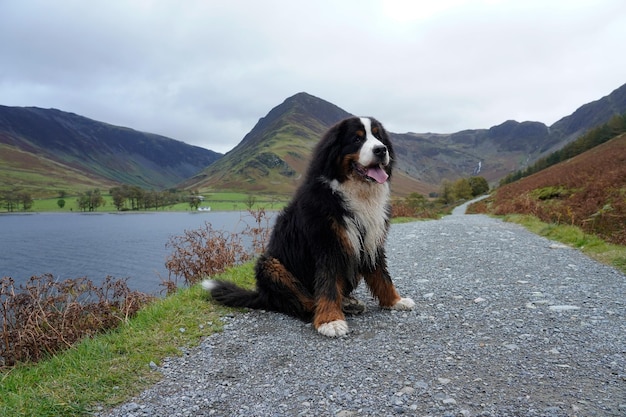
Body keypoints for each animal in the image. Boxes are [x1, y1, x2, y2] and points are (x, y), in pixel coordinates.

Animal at [202, 115, 412, 336]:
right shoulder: (327, 243)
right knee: (300, 303)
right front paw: (330, 320)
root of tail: (263, 296)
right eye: (357, 139)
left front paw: (395, 301)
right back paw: (333, 308)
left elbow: (382, 276)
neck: (355, 192)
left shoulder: (371, 239)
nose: (381, 150)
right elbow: (328, 284)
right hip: (271, 265)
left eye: (379, 137)